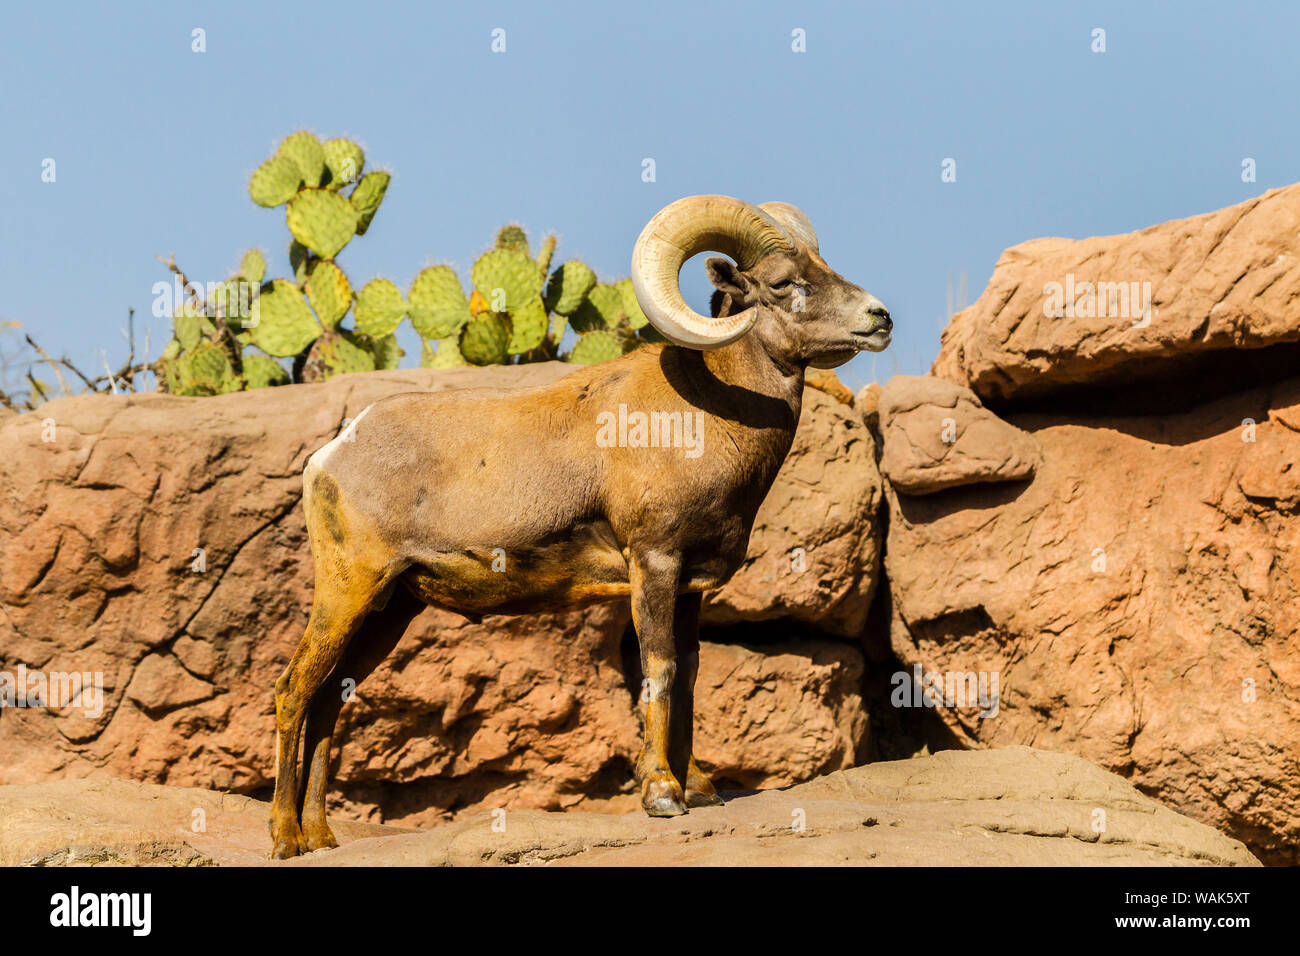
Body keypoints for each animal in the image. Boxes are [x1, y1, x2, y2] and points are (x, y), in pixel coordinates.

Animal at [269, 195, 889, 858]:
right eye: (783, 283)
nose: (879, 318)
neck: (710, 417)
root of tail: (330, 456)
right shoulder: (654, 564)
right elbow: (660, 670)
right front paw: (662, 794)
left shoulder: (690, 587)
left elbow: (691, 678)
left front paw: (698, 789)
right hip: (349, 590)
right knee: (294, 690)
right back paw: (284, 840)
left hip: (389, 608)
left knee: (329, 701)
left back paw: (321, 838)